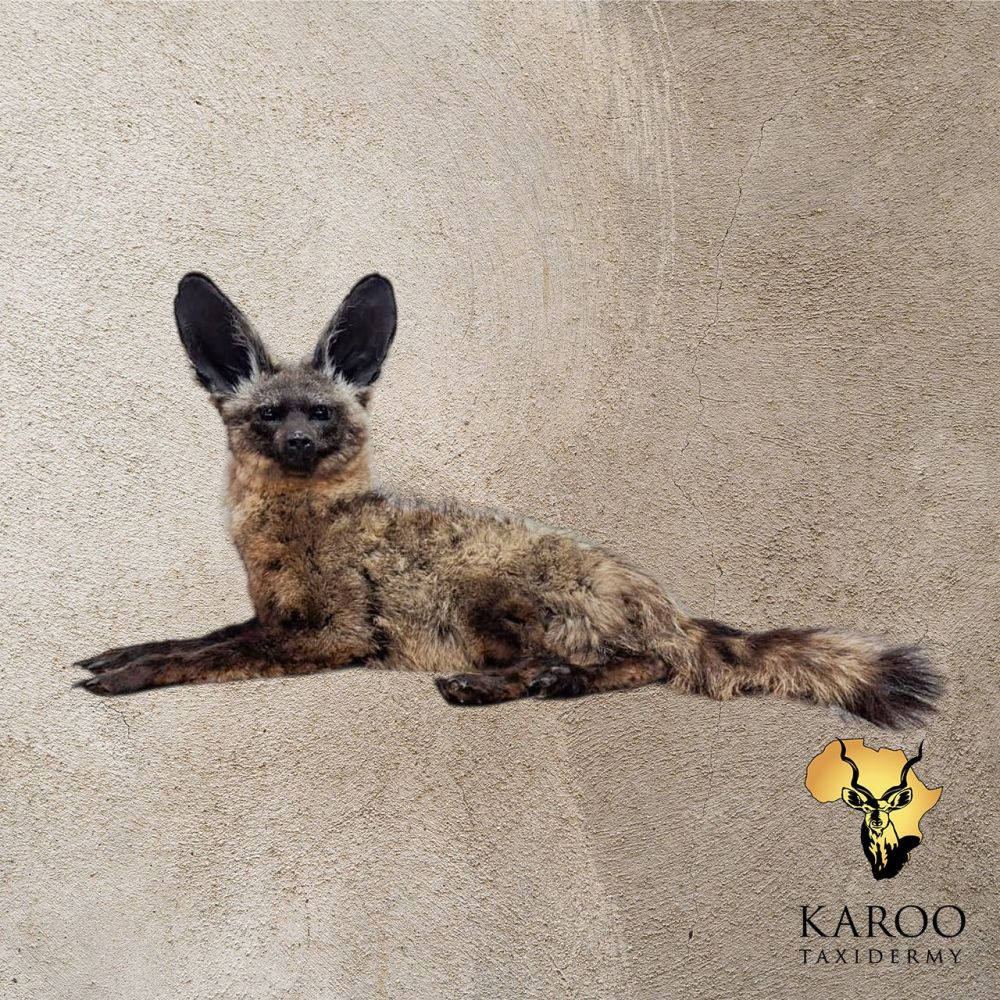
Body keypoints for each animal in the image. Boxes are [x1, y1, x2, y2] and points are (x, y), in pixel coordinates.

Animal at [75, 272, 941, 726]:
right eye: (266, 415)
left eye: (321, 414)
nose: (298, 445)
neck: (296, 531)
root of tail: (660, 597)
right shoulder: (271, 615)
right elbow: (189, 637)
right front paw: (115, 655)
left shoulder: (332, 636)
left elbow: (203, 657)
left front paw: (124, 679)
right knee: (635, 662)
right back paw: (552, 682)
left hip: (485, 595)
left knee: (642, 663)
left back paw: (499, 684)